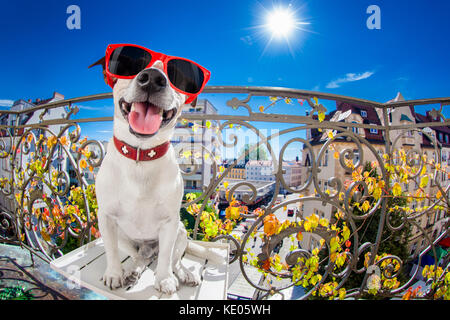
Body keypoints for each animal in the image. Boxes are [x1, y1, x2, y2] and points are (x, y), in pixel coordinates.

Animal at [92, 45, 214, 296]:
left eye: (178, 74)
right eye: (131, 63)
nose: (152, 78)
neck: (141, 156)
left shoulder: (170, 223)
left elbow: (167, 258)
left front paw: (165, 279)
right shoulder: (106, 218)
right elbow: (110, 250)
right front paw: (114, 273)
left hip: (180, 232)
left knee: (172, 259)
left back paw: (183, 273)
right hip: (125, 237)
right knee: (141, 256)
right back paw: (133, 270)